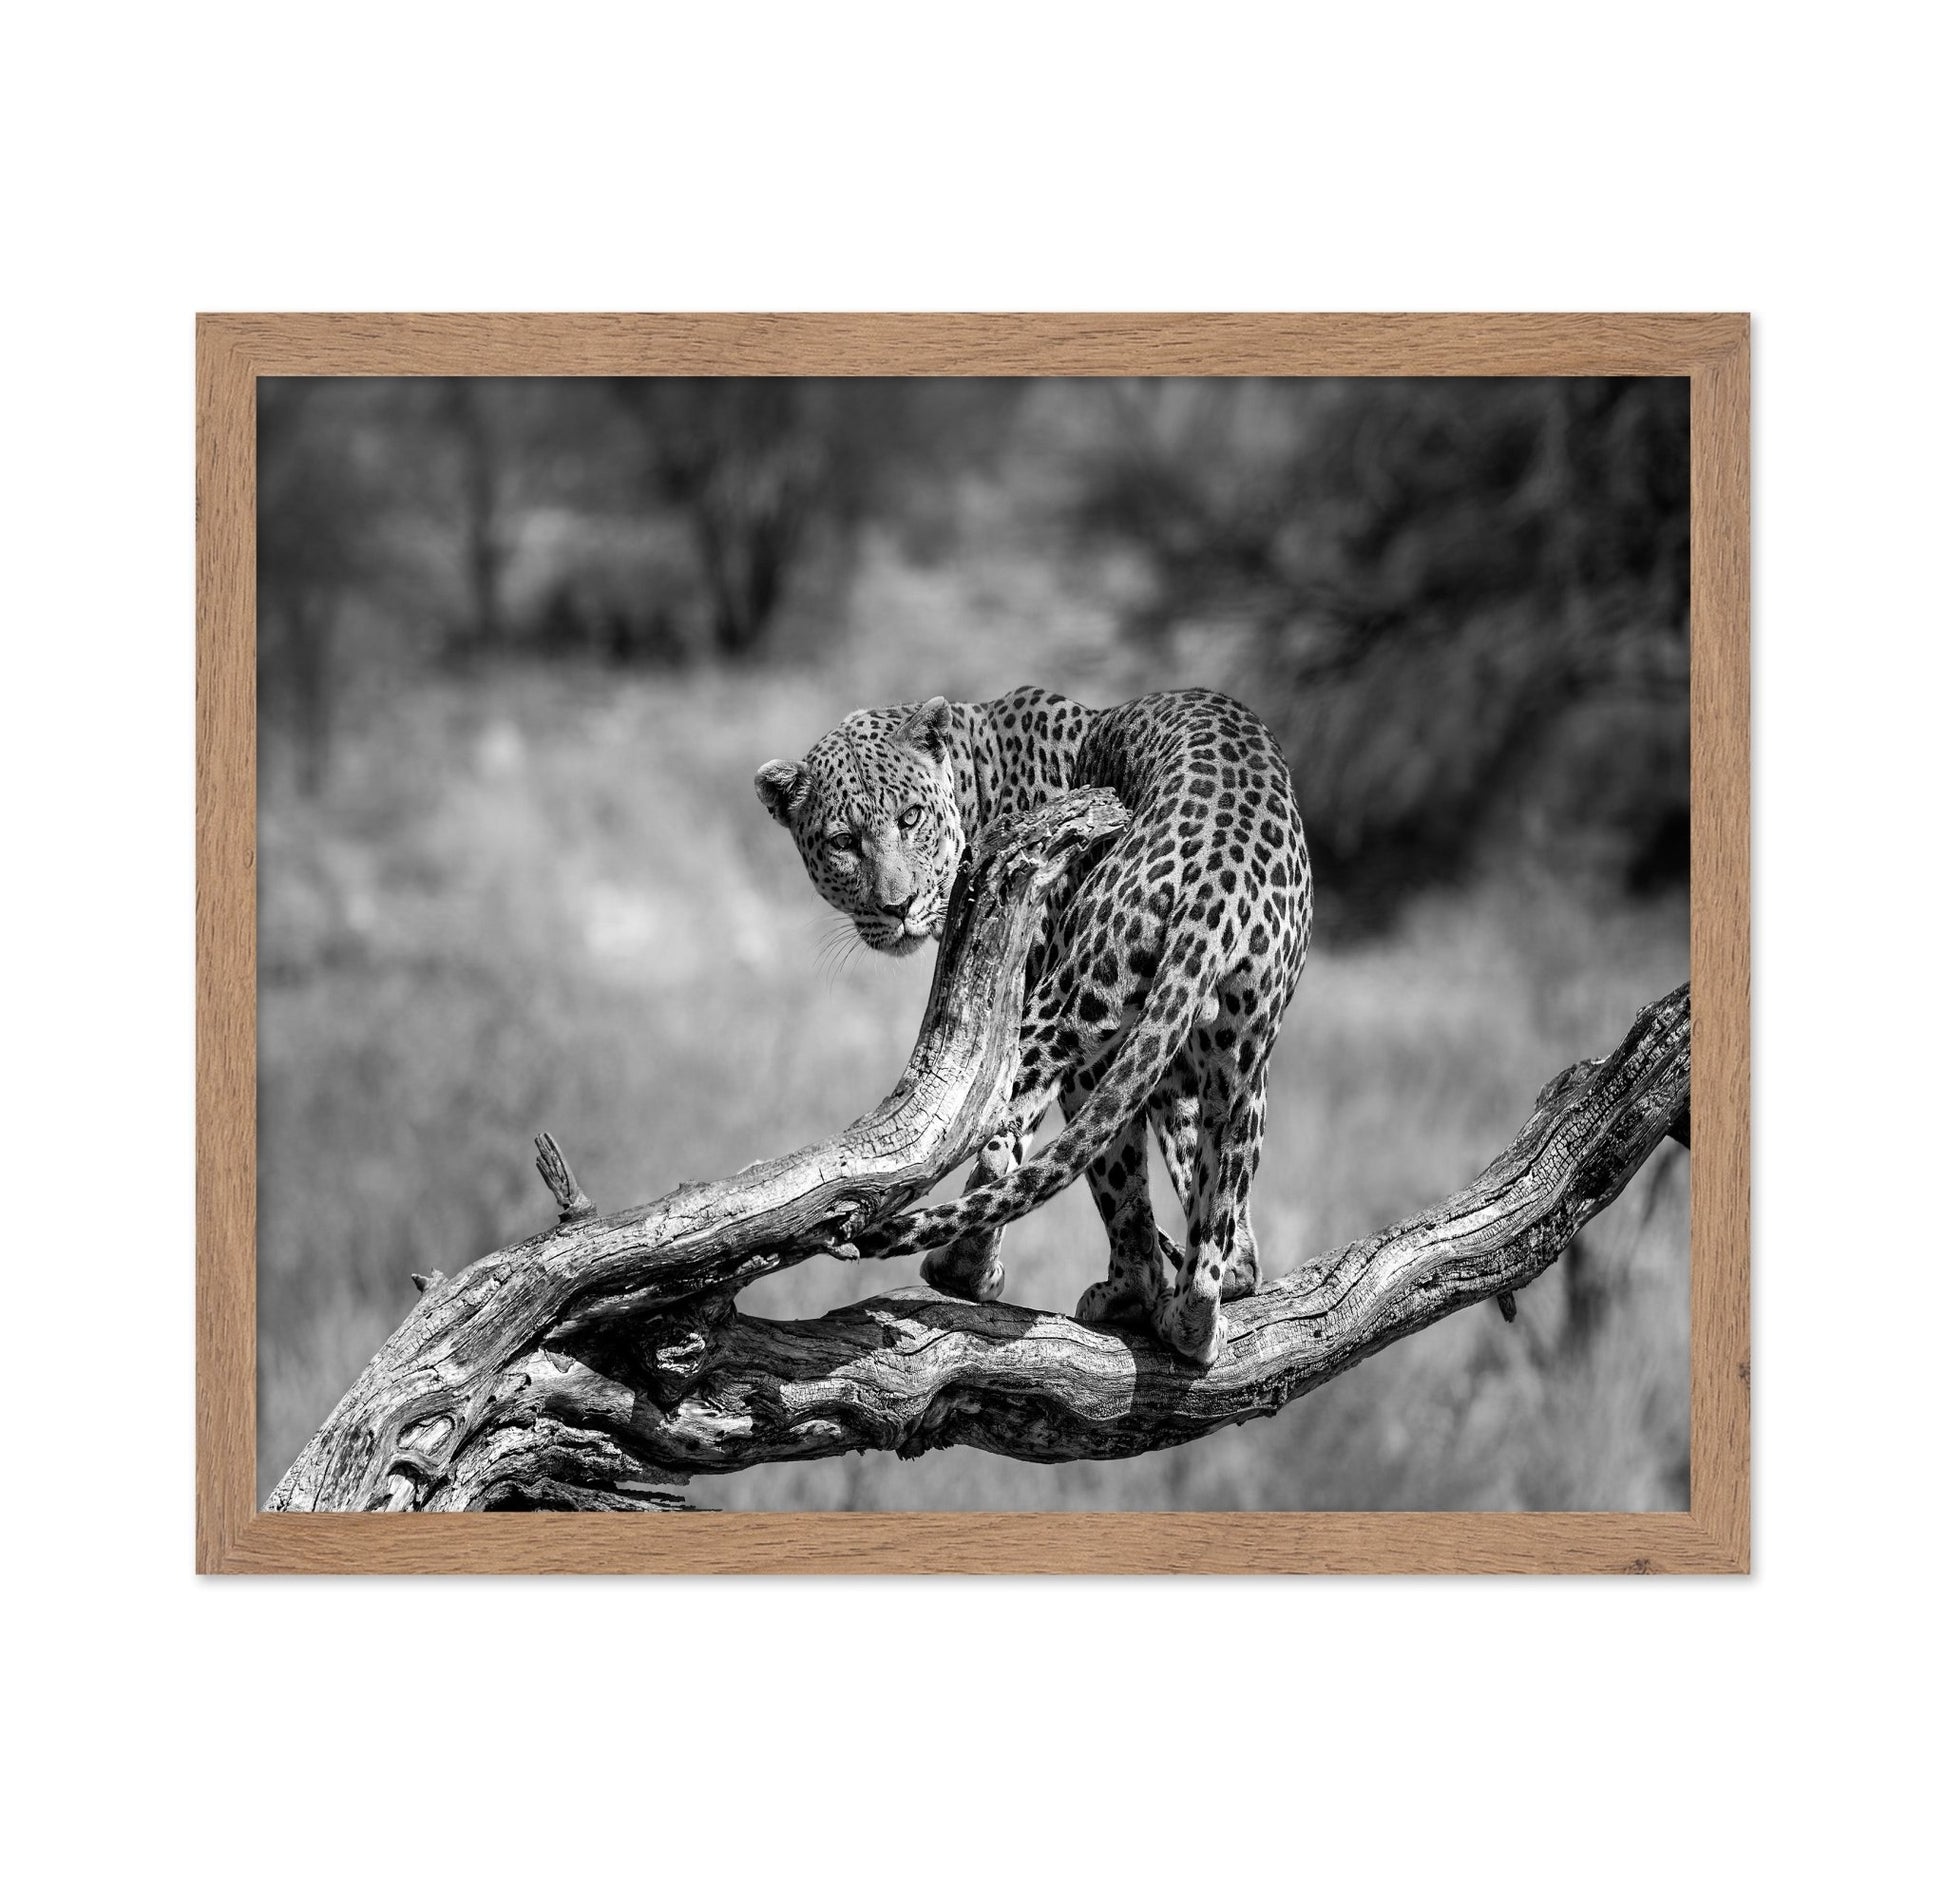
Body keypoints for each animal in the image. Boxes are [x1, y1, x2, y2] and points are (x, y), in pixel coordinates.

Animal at [755, 685, 1312, 1367]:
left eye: (909, 819)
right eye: (843, 841)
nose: (898, 906)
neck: (974, 779)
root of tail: (1218, 880)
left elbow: (1013, 1146)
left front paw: (974, 1270)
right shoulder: (1176, 1065)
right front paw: (1229, 1275)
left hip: (1076, 1011)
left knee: (1051, 1148)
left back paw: (1070, 1284)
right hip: (1239, 1054)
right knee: (1218, 1199)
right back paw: (1194, 1314)